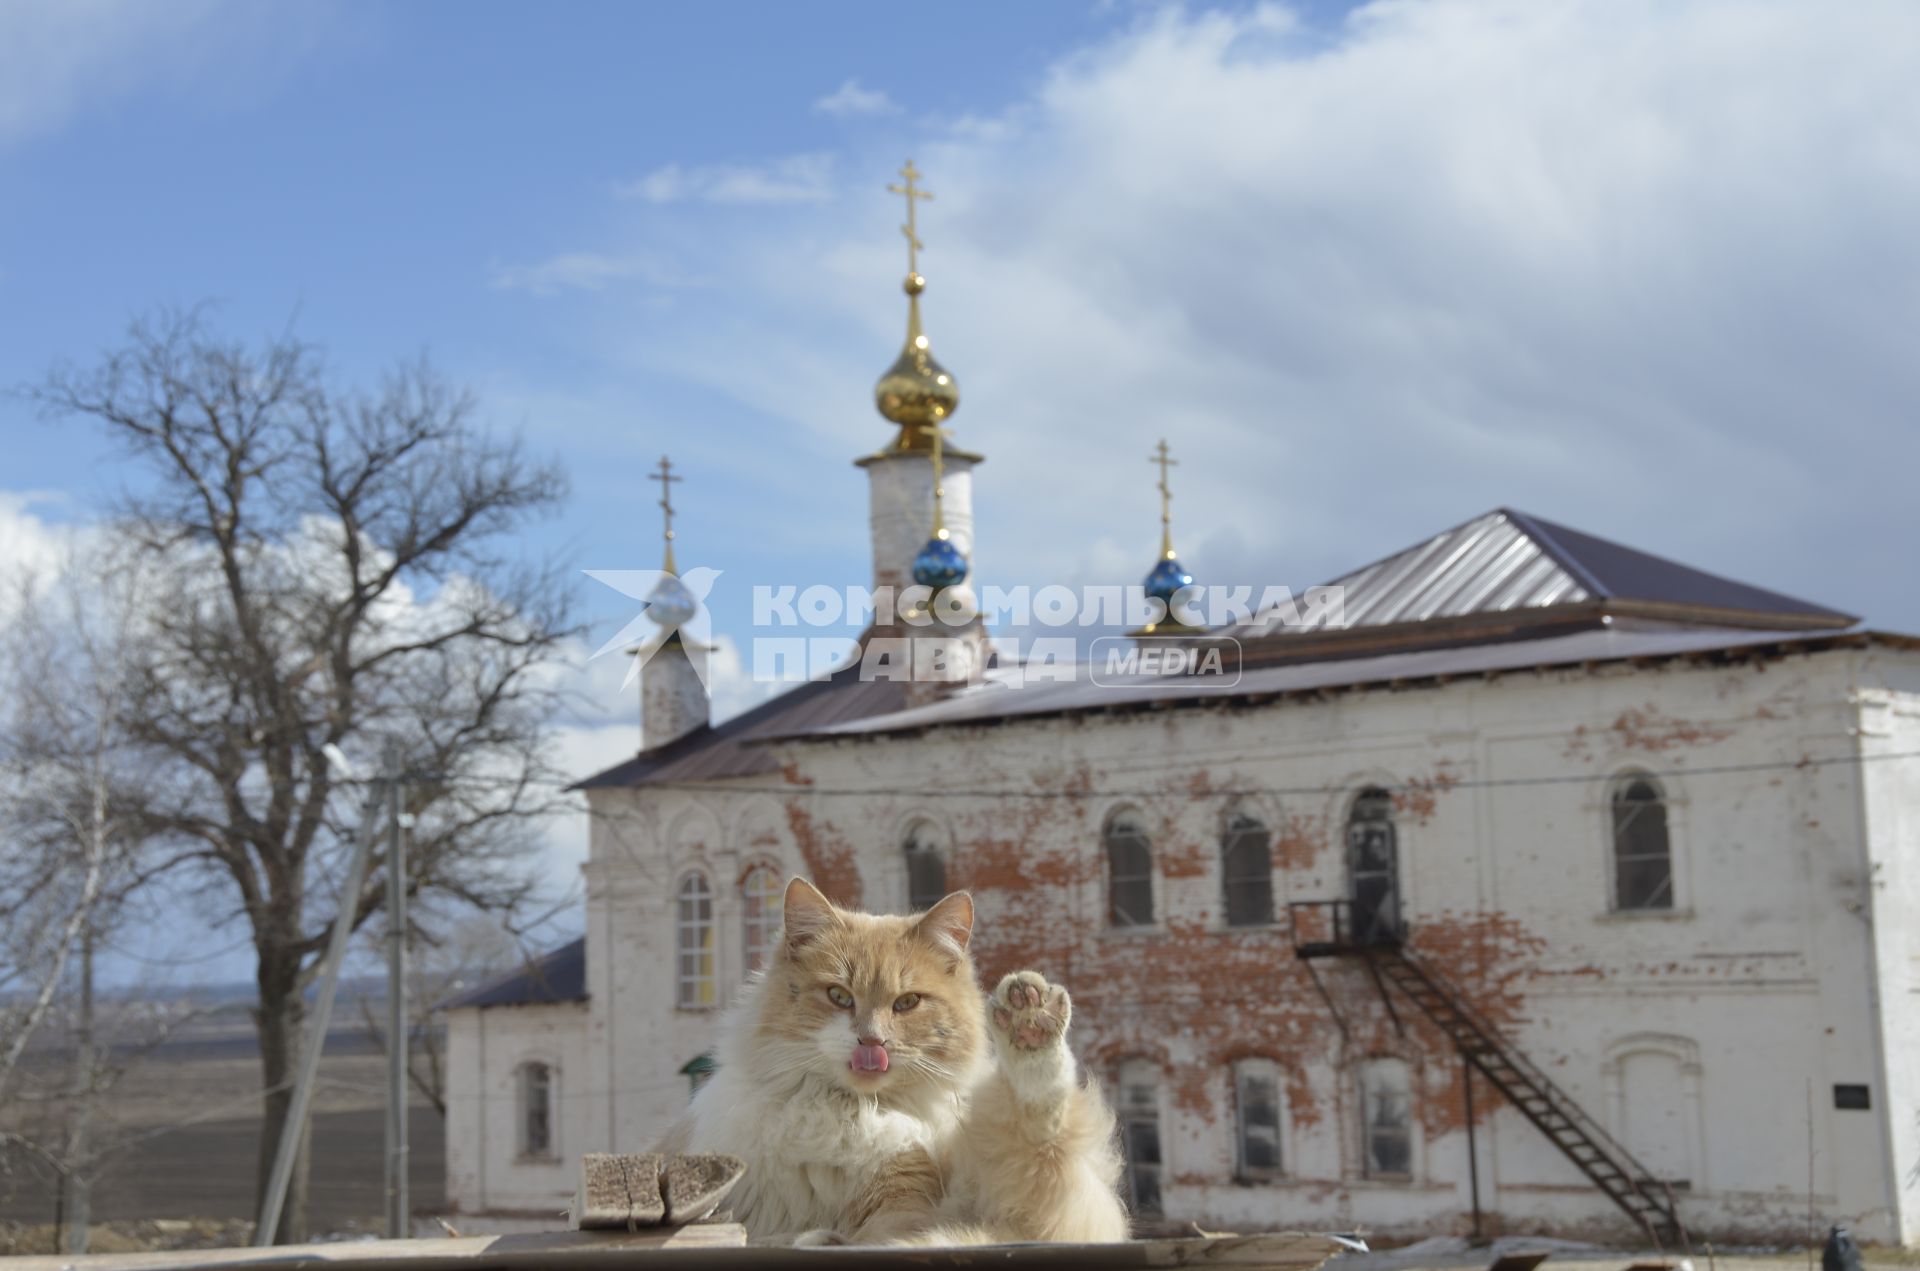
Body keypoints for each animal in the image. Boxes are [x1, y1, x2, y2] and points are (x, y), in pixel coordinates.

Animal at [656, 883, 1121, 1251]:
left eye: (907, 1002)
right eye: (839, 996)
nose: (871, 1042)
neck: (847, 1112)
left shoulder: (908, 1200)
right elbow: (759, 1234)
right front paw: (813, 1236)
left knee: (1038, 1125)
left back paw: (1030, 1023)